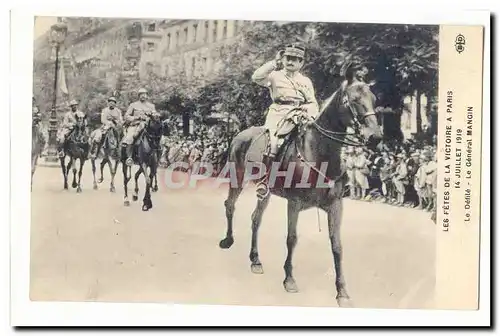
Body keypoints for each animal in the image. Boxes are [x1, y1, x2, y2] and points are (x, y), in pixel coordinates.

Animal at [219, 76, 382, 308]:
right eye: (354, 100)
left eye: (374, 99)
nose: (375, 136)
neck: (319, 152)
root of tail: (240, 134)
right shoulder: (294, 203)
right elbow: (292, 238)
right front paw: (289, 279)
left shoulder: (336, 206)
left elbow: (337, 246)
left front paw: (342, 292)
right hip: (238, 178)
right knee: (230, 205)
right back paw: (228, 240)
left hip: (265, 192)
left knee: (255, 219)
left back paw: (255, 260)